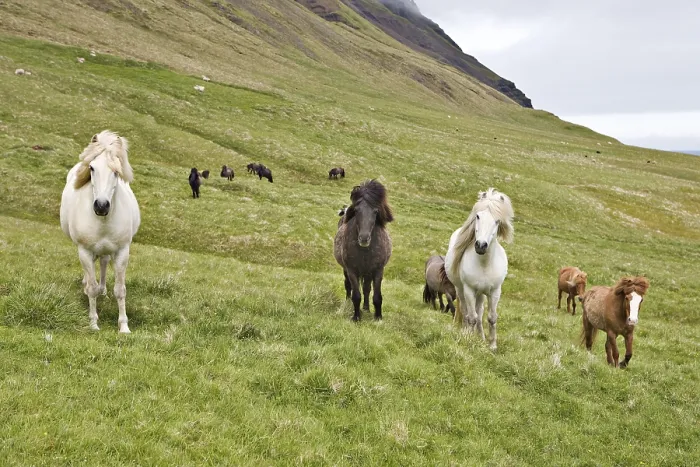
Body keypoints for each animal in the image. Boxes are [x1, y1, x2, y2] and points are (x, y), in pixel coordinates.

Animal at [59, 130, 141, 333]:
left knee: (103, 262)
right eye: (92, 168)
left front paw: (124, 326)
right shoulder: (84, 251)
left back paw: (103, 290)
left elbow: (120, 290)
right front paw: (93, 323)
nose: (101, 206)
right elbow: (92, 288)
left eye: (116, 171)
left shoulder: (122, 251)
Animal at [334, 180, 393, 321]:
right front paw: (356, 317)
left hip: (368, 272)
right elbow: (356, 295)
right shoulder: (352, 270)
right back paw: (349, 304)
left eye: (376, 211)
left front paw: (378, 317)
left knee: (366, 288)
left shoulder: (378, 270)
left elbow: (376, 296)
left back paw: (366, 308)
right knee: (348, 286)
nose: (364, 239)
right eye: (356, 210)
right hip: (348, 270)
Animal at [445, 188, 514, 350]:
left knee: (480, 312)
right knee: (466, 311)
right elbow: (471, 317)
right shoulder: (469, 290)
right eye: (478, 216)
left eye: (497, 221)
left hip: (482, 294)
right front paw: (468, 340)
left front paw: (492, 345)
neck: (484, 264)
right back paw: (465, 332)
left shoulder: (495, 291)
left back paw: (481, 337)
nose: (481, 245)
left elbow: (491, 318)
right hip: (461, 290)